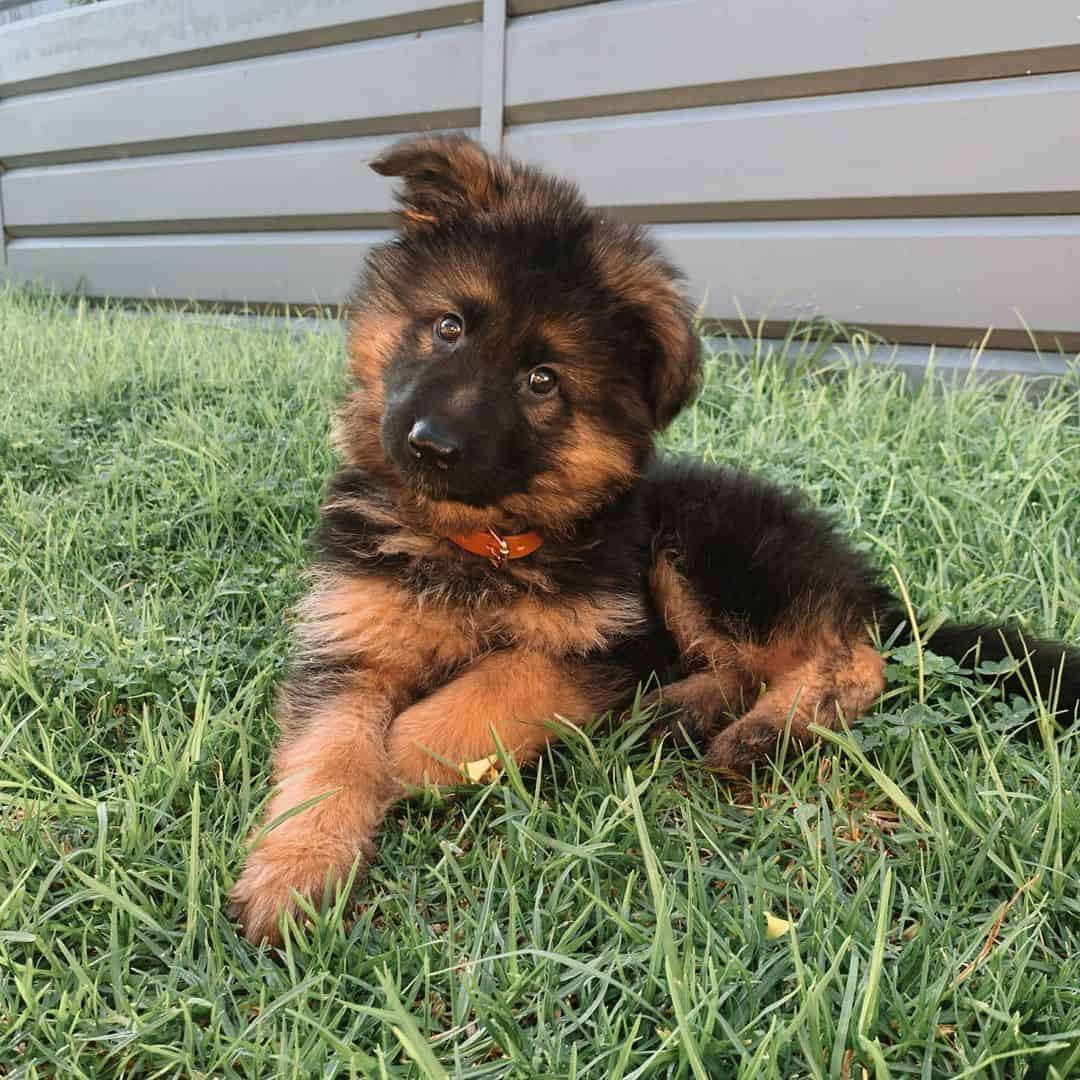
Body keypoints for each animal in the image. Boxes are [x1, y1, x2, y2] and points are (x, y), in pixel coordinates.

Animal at [232, 132, 1080, 946]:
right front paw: (297, 863)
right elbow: (331, 749)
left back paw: (758, 731)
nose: (430, 446)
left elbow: (501, 679)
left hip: (700, 545)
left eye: (542, 381)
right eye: (448, 327)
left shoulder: (604, 642)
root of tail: (851, 574)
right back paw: (677, 712)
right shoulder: (351, 645)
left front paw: (405, 754)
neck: (476, 543)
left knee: (852, 658)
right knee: (751, 665)